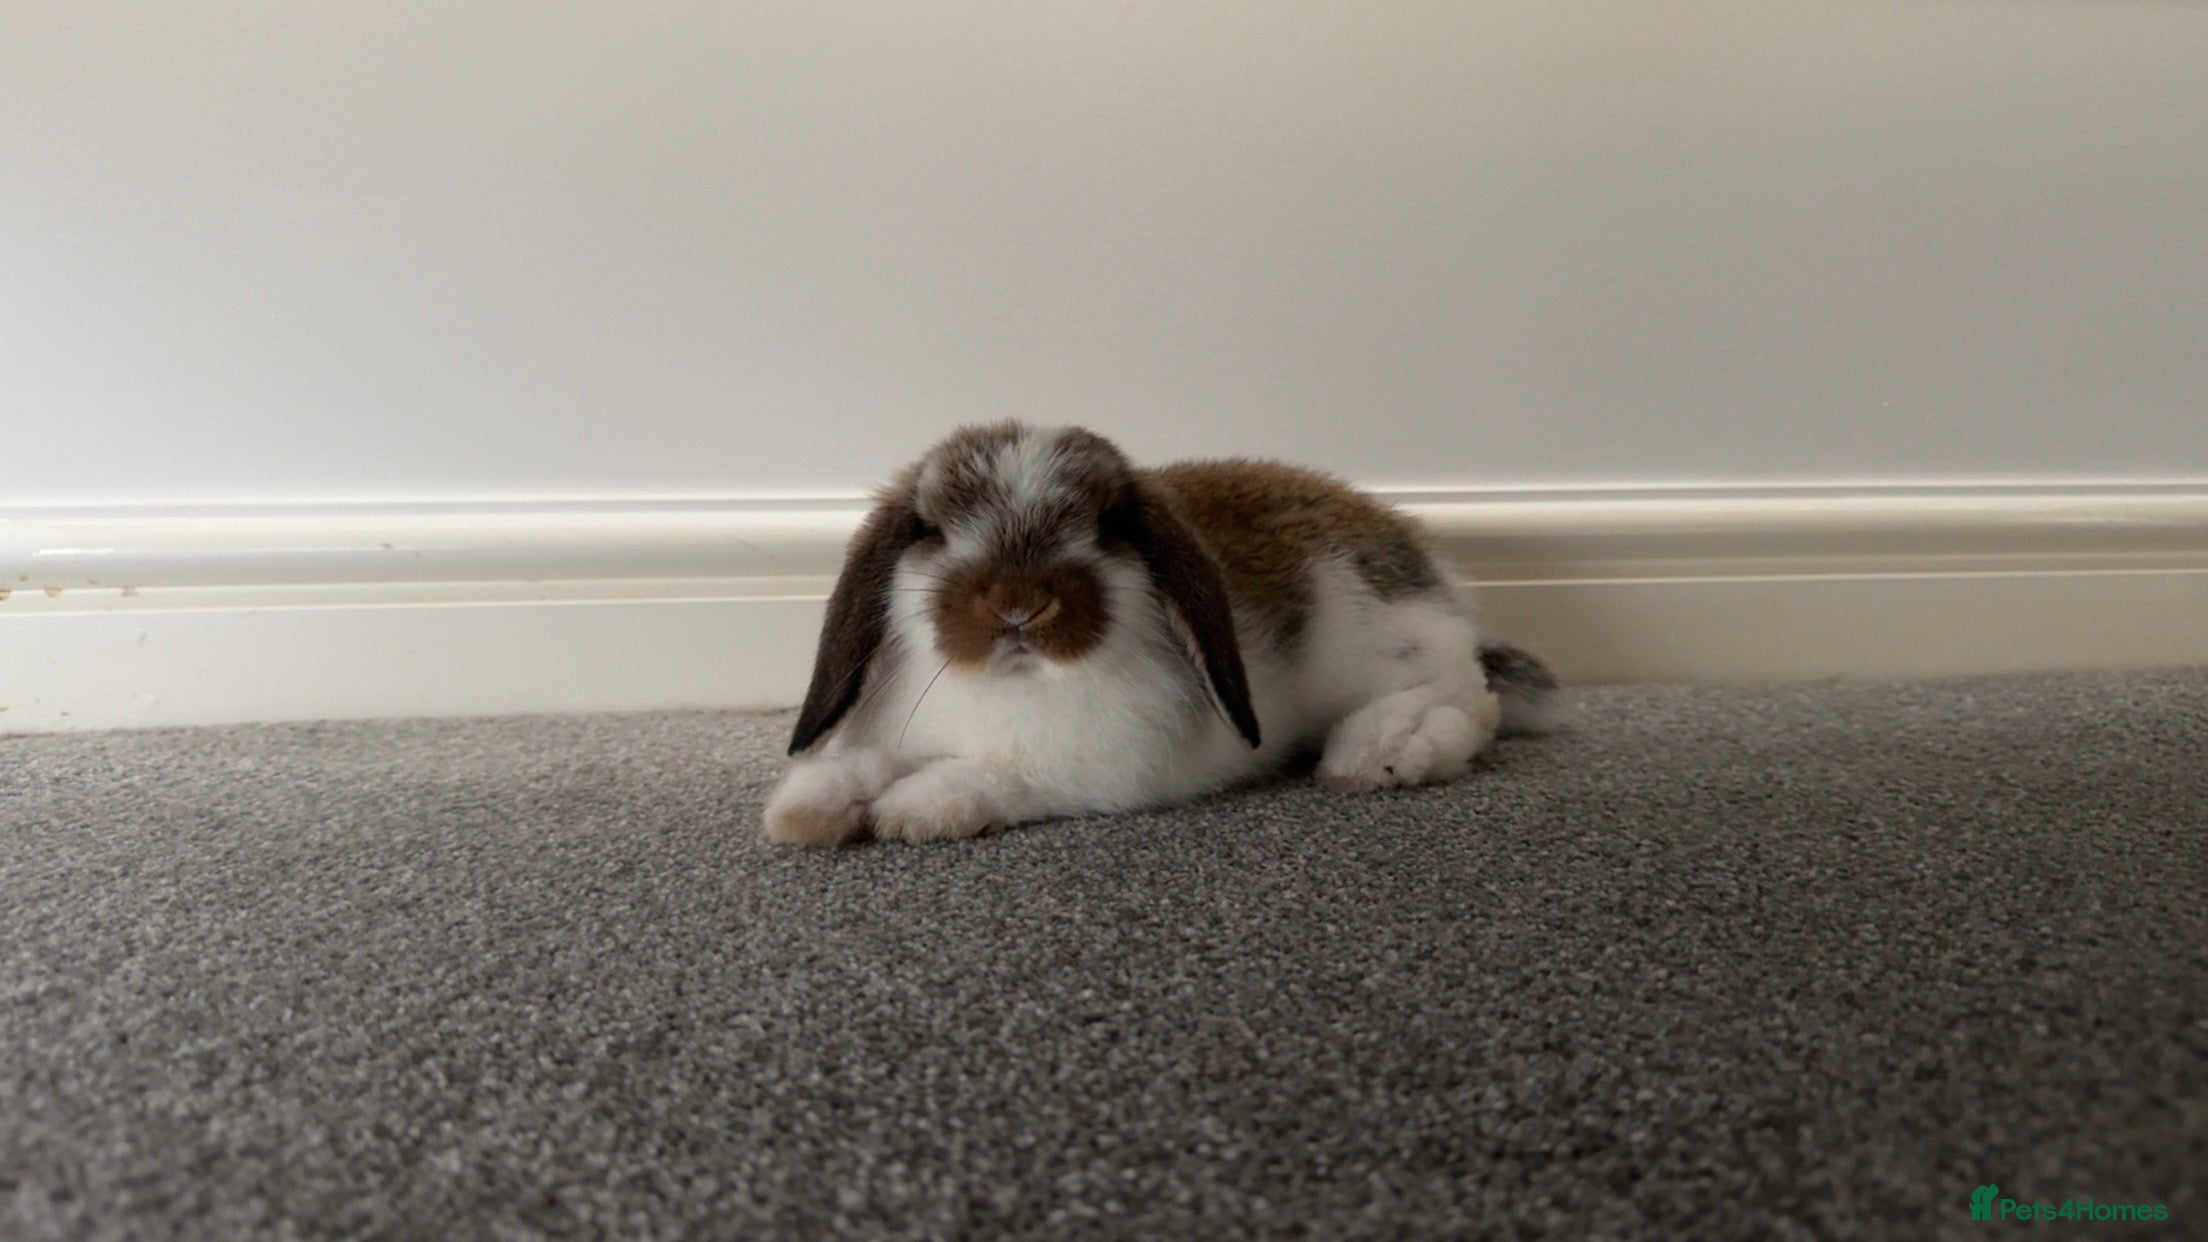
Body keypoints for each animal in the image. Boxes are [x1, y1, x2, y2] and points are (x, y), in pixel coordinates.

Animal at [763, 422, 1561, 845]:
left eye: (1109, 524)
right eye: (930, 529)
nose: (1020, 607)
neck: (1014, 683)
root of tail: (1428, 564)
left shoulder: (1085, 770)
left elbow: (991, 777)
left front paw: (913, 811)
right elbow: (866, 764)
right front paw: (807, 809)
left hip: (1389, 639)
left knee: (1465, 695)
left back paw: (1379, 752)